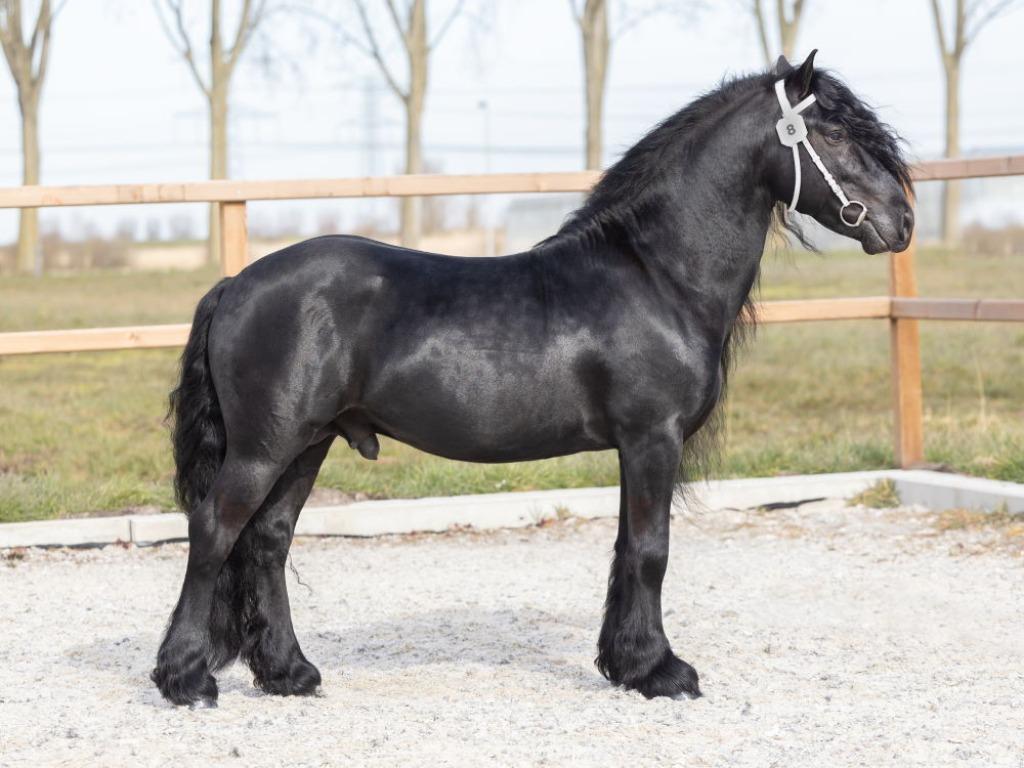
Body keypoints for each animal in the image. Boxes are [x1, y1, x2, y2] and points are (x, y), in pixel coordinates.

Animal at [152, 51, 913, 707]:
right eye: (835, 131)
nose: (901, 221)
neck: (655, 275)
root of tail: (236, 284)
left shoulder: (635, 449)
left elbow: (625, 548)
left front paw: (624, 663)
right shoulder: (652, 439)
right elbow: (651, 551)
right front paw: (661, 672)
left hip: (307, 444)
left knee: (269, 541)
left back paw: (289, 673)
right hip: (265, 447)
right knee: (215, 532)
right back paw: (186, 679)